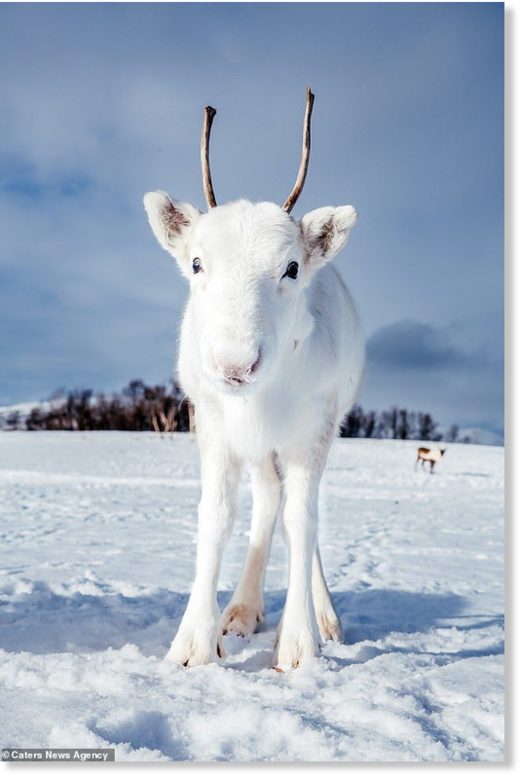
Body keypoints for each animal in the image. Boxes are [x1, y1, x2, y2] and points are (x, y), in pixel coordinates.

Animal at [142, 89, 362, 668]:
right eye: (196, 263)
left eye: (292, 267)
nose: (234, 366)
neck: (260, 399)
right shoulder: (212, 421)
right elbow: (217, 516)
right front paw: (194, 644)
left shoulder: (314, 427)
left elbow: (302, 523)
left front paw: (300, 644)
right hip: (260, 450)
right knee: (267, 499)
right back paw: (241, 610)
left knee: (299, 515)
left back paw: (322, 617)